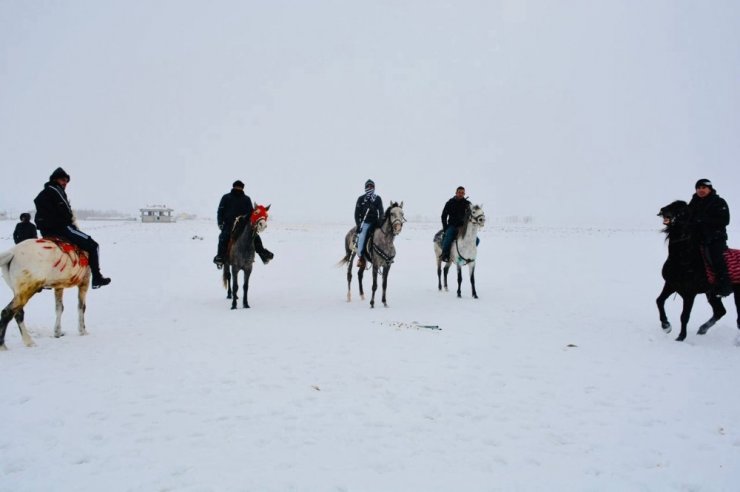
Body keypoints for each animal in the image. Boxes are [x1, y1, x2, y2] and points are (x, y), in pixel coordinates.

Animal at [656, 200, 736, 342]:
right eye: (671, 204)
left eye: (682, 210)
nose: (663, 210)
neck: (683, 259)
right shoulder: (670, 285)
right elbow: (659, 301)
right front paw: (666, 326)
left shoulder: (689, 294)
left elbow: (684, 316)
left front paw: (681, 337)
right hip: (712, 294)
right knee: (720, 311)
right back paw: (702, 329)